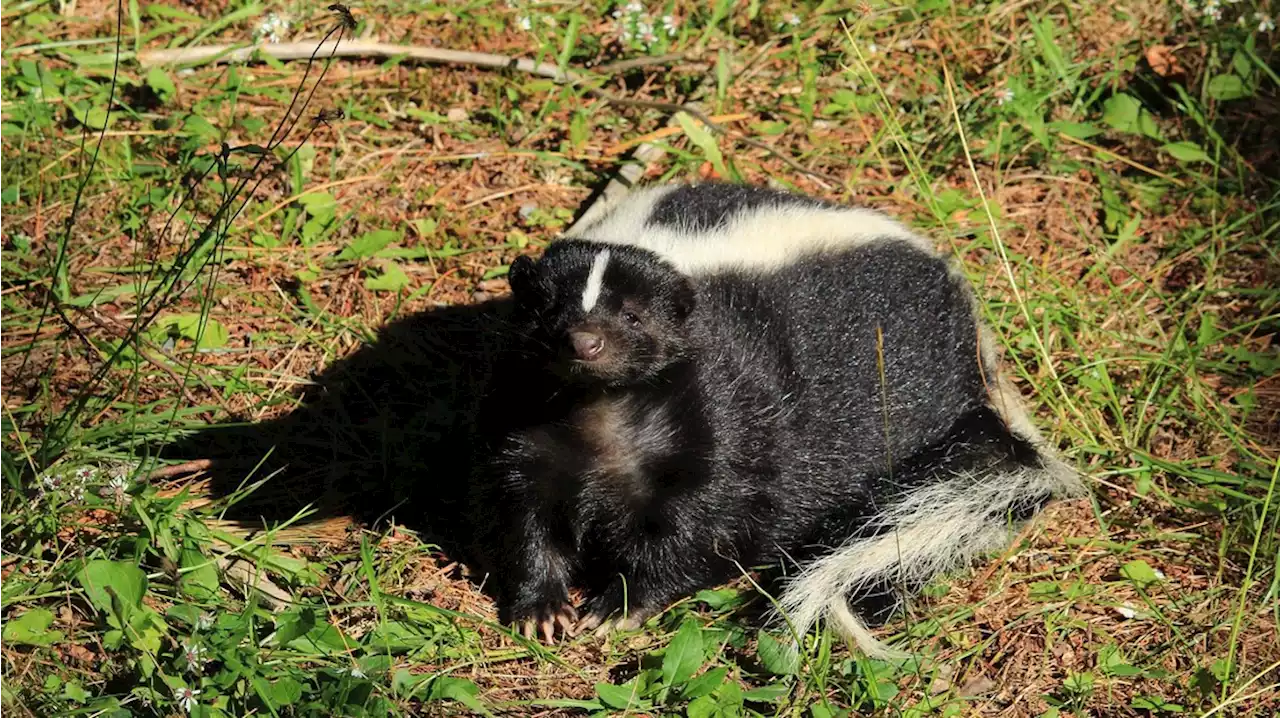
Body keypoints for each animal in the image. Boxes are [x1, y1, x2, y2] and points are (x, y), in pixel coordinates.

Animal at [481, 180, 1080, 655]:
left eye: (633, 316)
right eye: (549, 310)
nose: (585, 342)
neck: (602, 409)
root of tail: (976, 334)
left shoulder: (732, 412)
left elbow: (709, 519)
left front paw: (620, 605)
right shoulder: (527, 423)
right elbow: (526, 512)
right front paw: (543, 608)